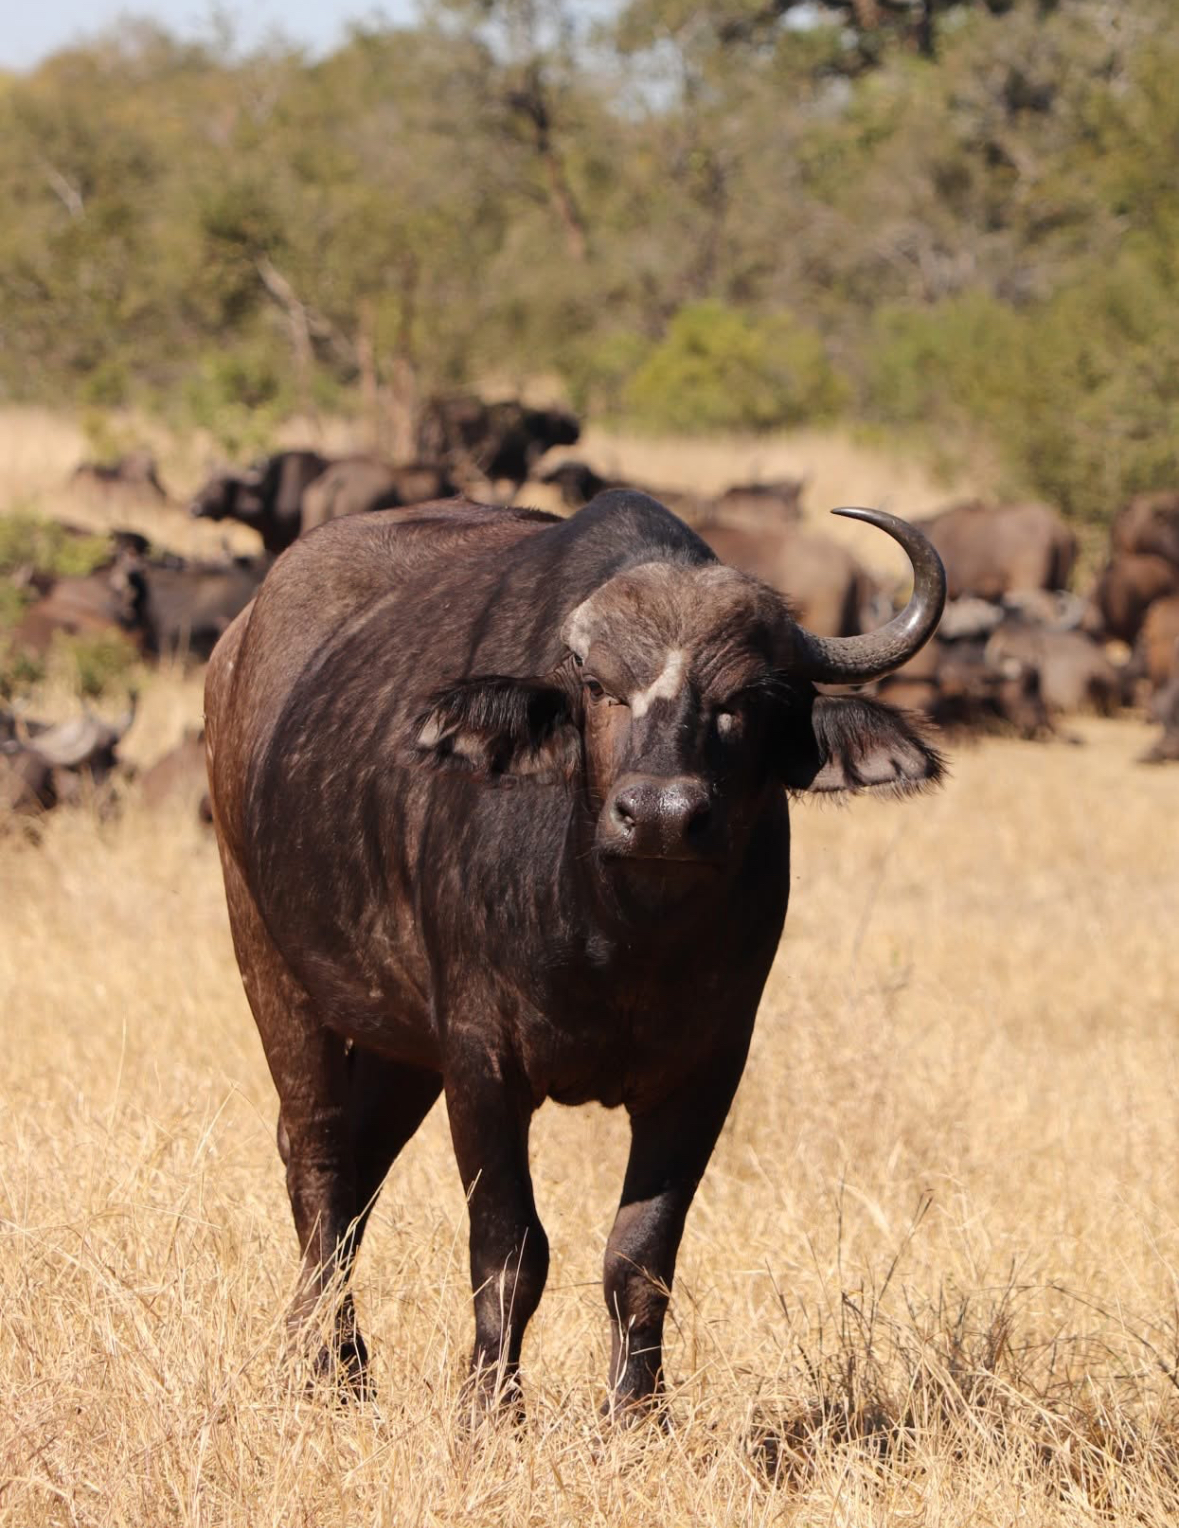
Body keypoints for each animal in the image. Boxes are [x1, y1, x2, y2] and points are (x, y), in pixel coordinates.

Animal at [205, 491, 945, 1417]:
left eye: (748, 697)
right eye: (598, 688)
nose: (660, 815)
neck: (619, 938)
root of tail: (235, 646)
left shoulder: (706, 1070)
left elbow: (640, 1255)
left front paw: (636, 1411)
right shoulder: (481, 1061)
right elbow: (509, 1247)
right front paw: (490, 1407)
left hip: (398, 1037)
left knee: (360, 1162)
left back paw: (343, 1359)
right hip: (264, 954)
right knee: (316, 1151)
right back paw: (324, 1363)